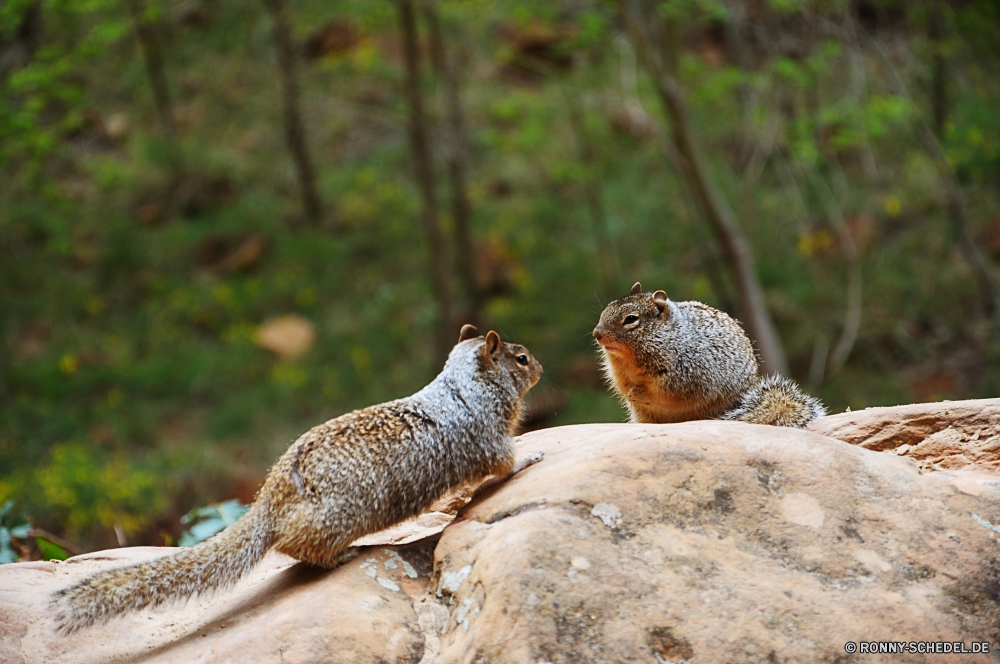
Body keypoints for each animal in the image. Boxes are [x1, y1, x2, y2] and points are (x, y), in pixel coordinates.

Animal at [50, 326, 544, 632]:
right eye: (521, 358)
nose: (541, 368)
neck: (463, 386)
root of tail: (269, 501)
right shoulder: (489, 440)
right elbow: (506, 462)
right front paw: (532, 456)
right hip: (337, 518)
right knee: (296, 547)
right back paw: (342, 555)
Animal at [588, 282, 824, 428]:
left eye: (631, 319)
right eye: (607, 308)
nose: (596, 334)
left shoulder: (686, 373)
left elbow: (666, 394)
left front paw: (638, 393)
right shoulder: (619, 373)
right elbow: (623, 386)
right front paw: (629, 393)